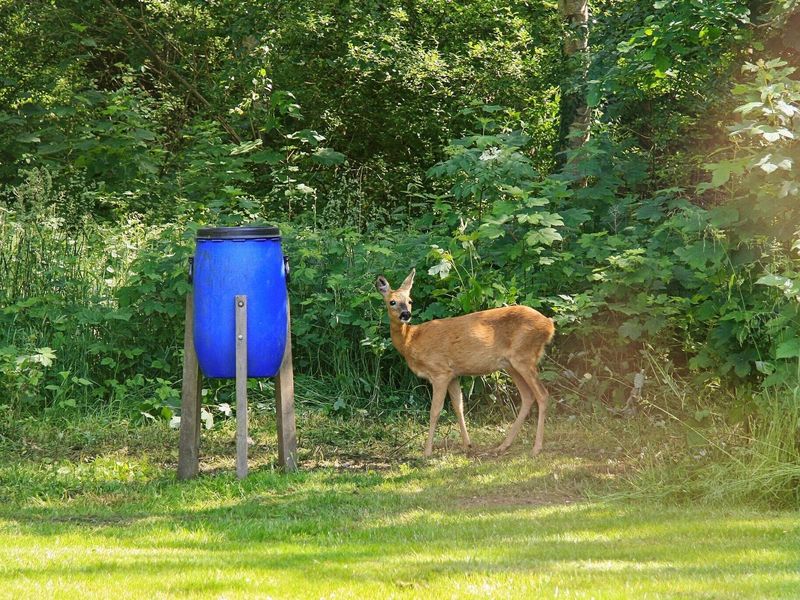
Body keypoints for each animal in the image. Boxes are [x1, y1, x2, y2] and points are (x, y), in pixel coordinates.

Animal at [376, 270, 556, 458]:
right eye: (392, 302)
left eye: (410, 301)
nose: (406, 314)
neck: (410, 340)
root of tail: (549, 325)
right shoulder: (453, 374)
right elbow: (459, 407)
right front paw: (467, 445)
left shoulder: (439, 372)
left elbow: (435, 411)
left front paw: (427, 452)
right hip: (511, 364)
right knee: (527, 396)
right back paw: (503, 446)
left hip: (524, 357)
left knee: (542, 394)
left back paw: (536, 448)